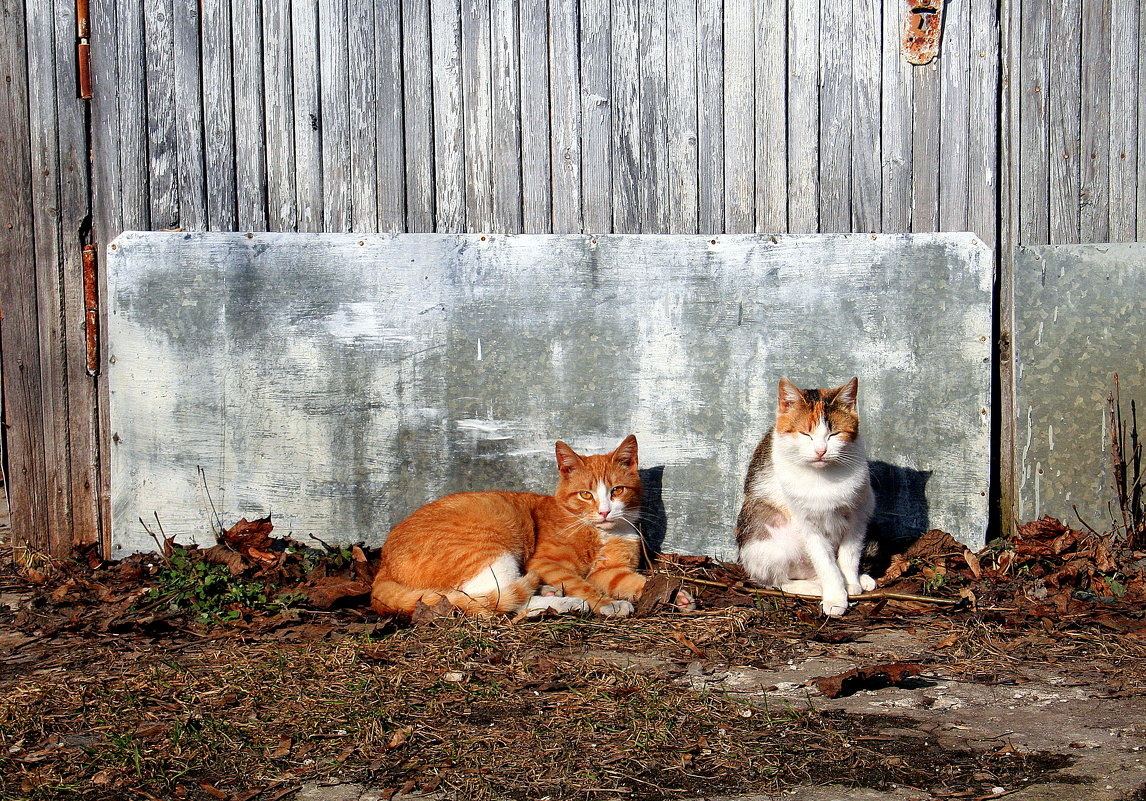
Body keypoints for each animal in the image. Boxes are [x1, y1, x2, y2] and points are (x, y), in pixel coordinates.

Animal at [371, 435, 650, 618]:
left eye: (617, 490)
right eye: (585, 495)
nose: (604, 511)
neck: (603, 532)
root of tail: (383, 565)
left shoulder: (611, 571)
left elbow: (635, 582)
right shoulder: (545, 563)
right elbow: (580, 584)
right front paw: (606, 603)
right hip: (492, 547)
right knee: (490, 600)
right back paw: (567, 603)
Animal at [733, 378, 875, 618]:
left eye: (834, 434)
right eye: (805, 434)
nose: (821, 451)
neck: (824, 477)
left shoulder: (859, 513)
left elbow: (849, 554)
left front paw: (851, 583)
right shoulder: (808, 524)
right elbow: (825, 562)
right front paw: (835, 597)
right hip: (767, 535)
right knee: (776, 581)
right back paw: (814, 587)